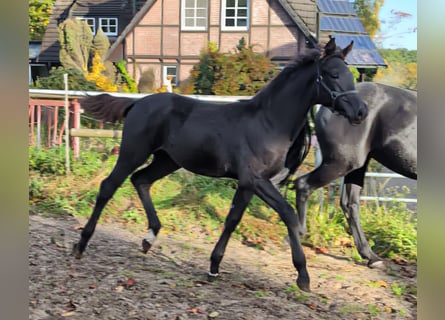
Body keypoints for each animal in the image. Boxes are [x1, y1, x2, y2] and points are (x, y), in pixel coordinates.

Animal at [72, 38, 364, 292]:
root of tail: (137, 103)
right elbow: (288, 214)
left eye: (351, 76)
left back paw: (149, 238)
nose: (361, 111)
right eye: (333, 74)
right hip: (133, 152)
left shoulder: (247, 184)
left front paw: (214, 265)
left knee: (141, 180)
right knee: (109, 186)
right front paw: (303, 276)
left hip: (168, 160)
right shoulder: (256, 180)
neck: (268, 122)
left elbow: (233, 219)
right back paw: (81, 245)